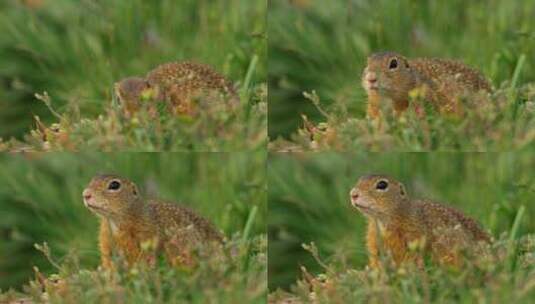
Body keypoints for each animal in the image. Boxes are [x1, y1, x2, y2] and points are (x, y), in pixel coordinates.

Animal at [82, 175, 224, 270]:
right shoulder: (105, 241)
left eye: (114, 185)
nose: (85, 194)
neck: (114, 221)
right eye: (91, 180)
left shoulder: (147, 234)